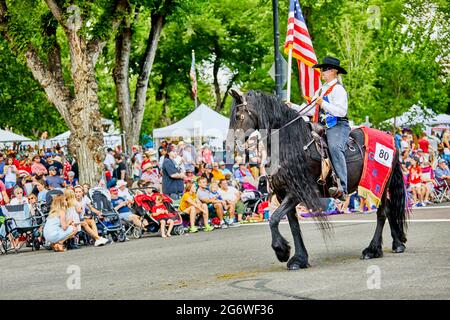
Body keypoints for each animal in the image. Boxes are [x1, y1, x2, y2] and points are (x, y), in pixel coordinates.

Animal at [229, 90, 408, 270]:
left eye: (237, 116)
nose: (231, 146)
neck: (290, 145)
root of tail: (391, 138)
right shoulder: (282, 193)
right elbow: (292, 225)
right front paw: (299, 258)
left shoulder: (297, 191)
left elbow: (274, 219)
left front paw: (282, 251)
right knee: (390, 209)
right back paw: (398, 243)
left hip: (379, 186)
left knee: (382, 213)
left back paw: (373, 250)